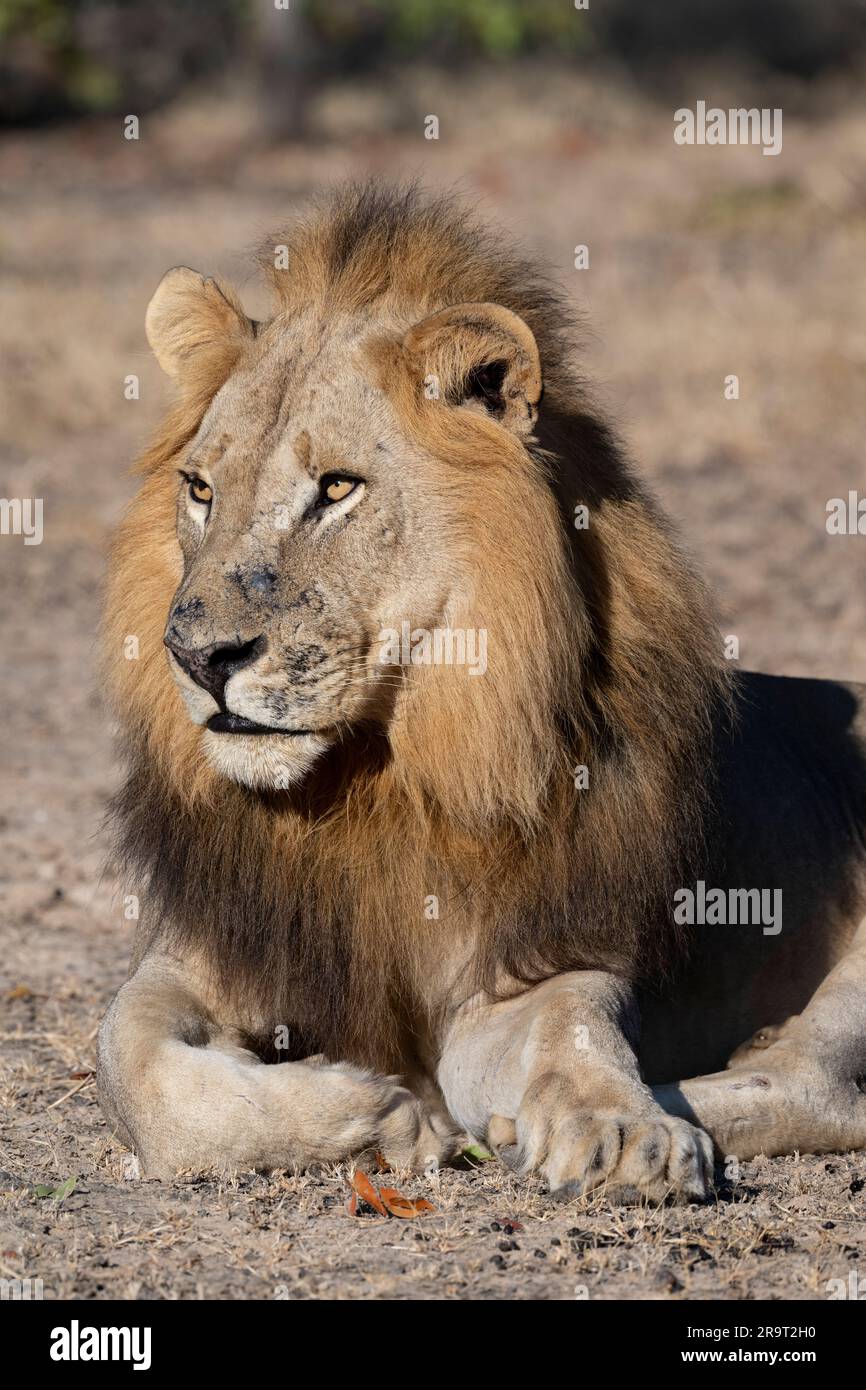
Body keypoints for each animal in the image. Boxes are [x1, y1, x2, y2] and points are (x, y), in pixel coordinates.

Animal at [97, 182, 866, 1200]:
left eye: (337, 488)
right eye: (199, 489)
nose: (197, 655)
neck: (375, 779)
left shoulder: (530, 959)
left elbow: (570, 1029)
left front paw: (622, 1129)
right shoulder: (204, 947)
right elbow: (131, 1059)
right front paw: (375, 1117)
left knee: (820, 1085)